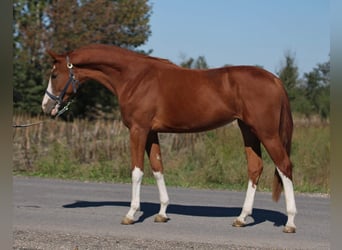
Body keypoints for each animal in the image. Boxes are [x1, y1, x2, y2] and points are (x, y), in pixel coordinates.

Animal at [40, 44, 296, 233]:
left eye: (54, 74)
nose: (46, 106)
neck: (135, 77)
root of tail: (275, 80)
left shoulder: (138, 130)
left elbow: (137, 171)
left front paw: (131, 214)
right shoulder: (152, 132)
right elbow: (157, 168)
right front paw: (162, 213)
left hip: (267, 133)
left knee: (284, 166)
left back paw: (290, 222)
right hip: (248, 130)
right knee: (255, 168)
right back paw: (242, 218)